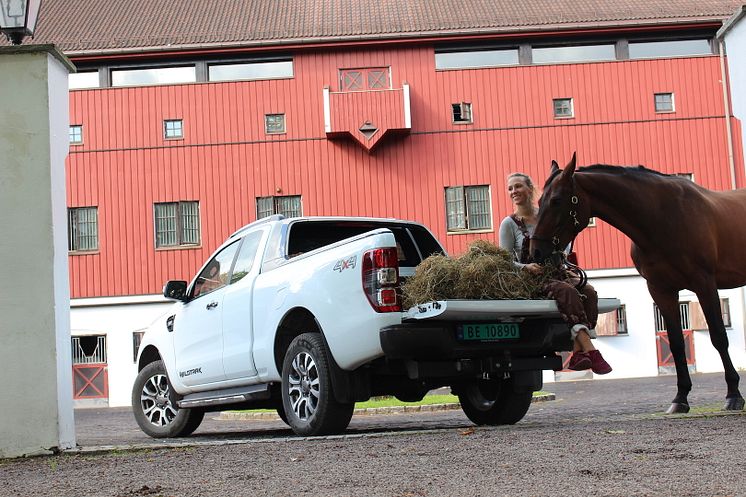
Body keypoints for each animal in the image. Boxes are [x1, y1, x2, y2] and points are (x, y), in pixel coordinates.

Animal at [528, 153, 744, 412]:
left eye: (557, 201)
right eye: (540, 201)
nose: (536, 252)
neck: (663, 218)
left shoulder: (704, 285)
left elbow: (719, 338)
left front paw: (733, 395)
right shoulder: (661, 290)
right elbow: (675, 343)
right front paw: (680, 398)